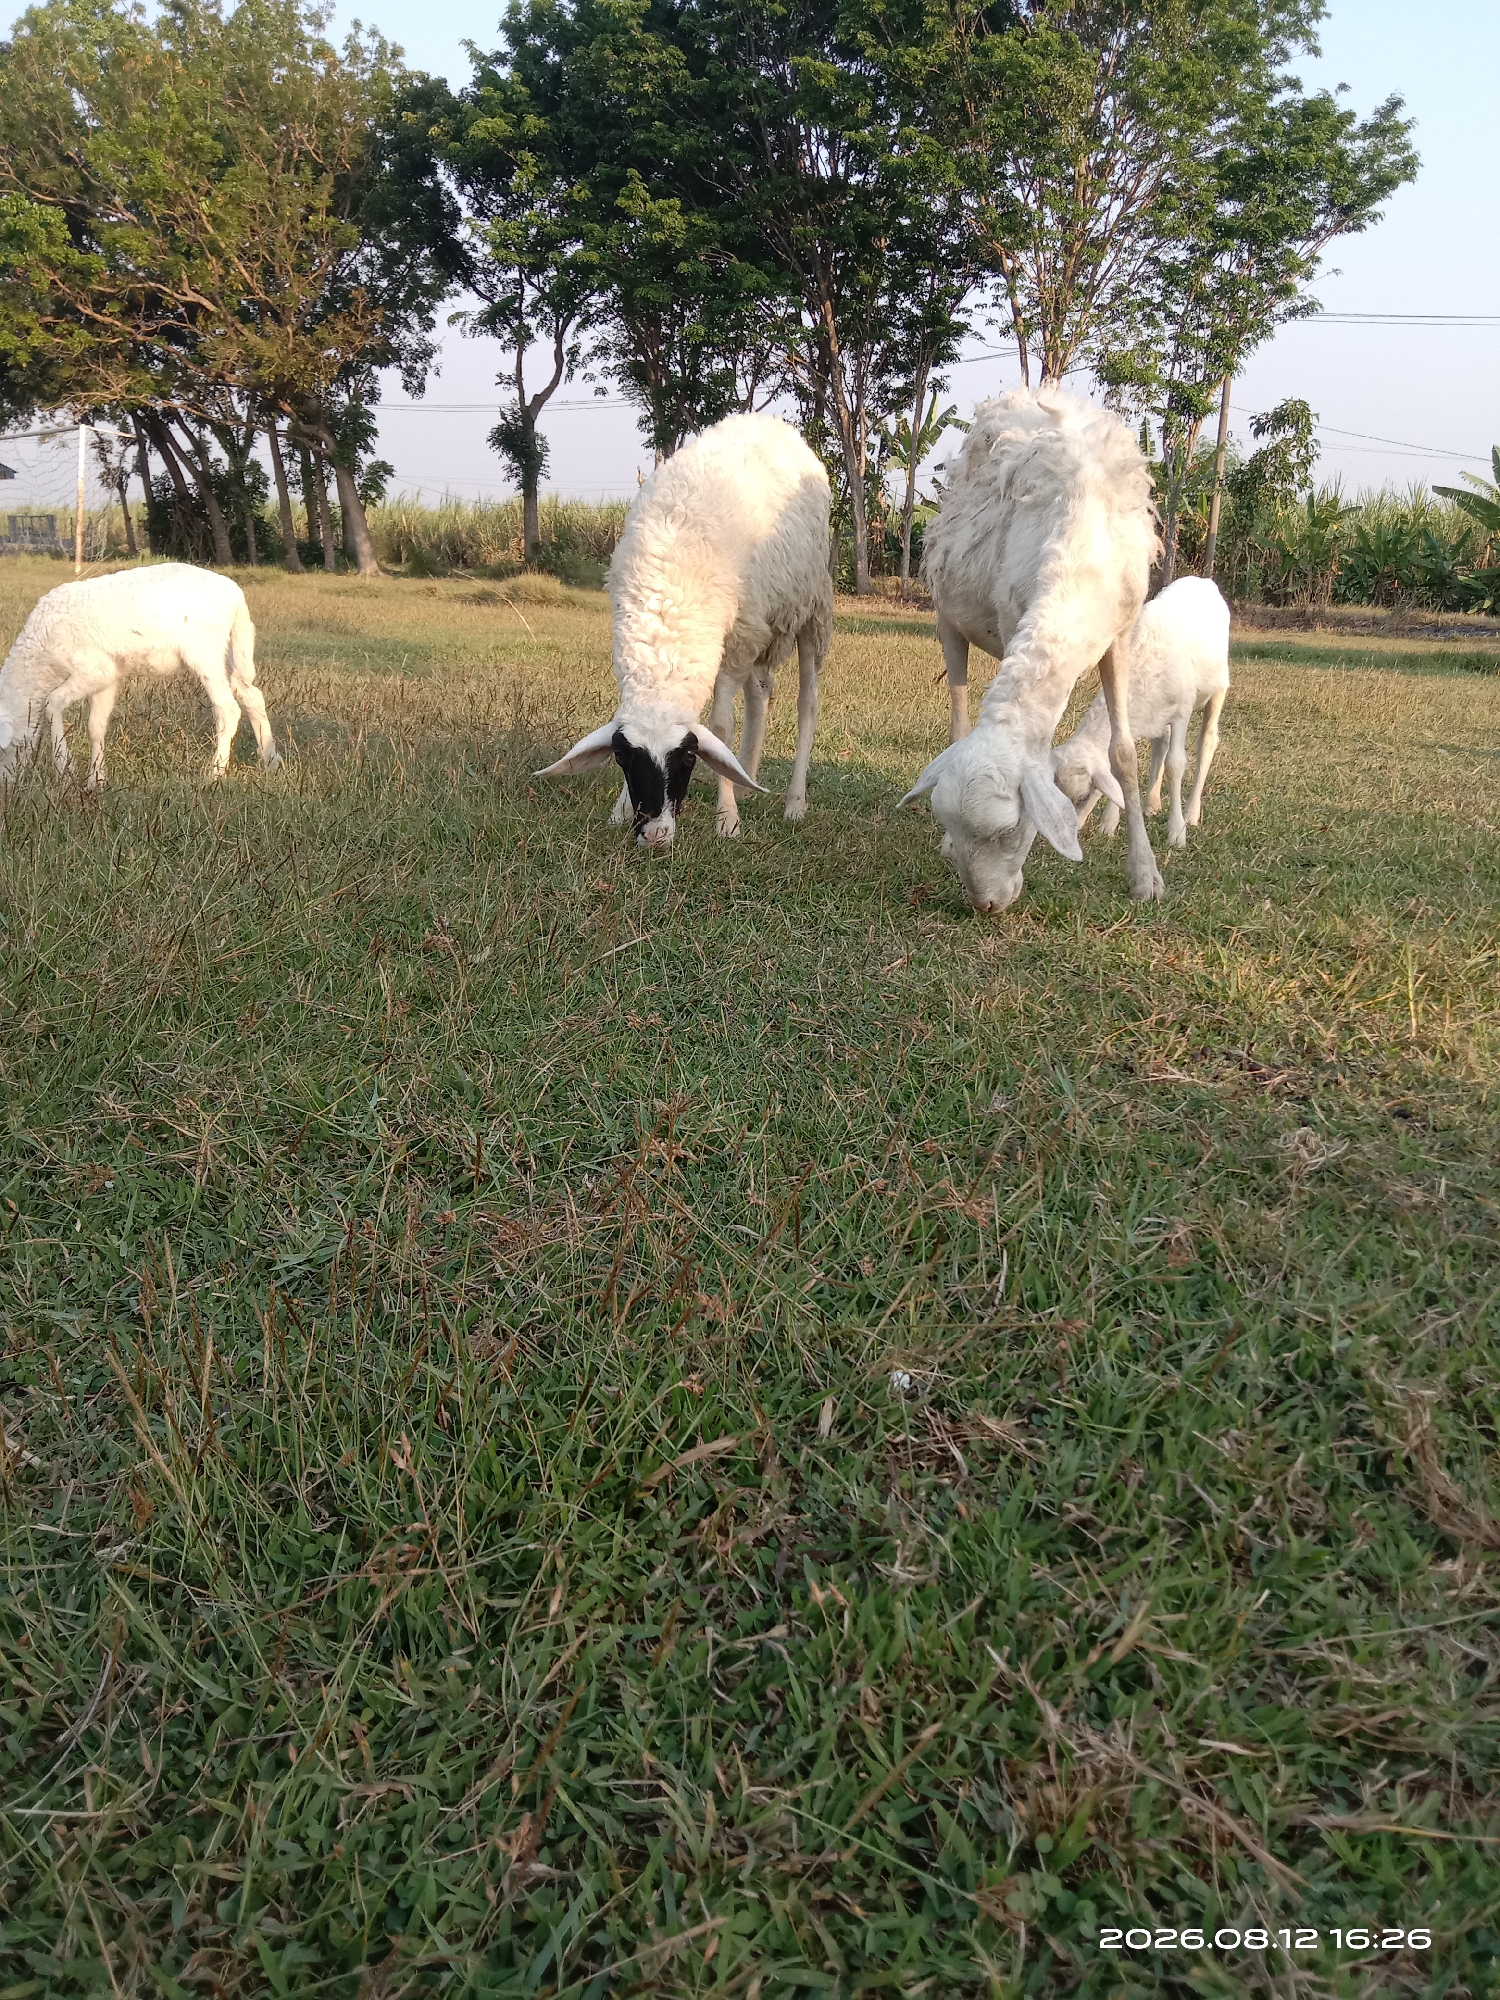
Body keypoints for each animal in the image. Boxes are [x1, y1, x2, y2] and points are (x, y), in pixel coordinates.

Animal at [0, 563, 280, 787]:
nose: (6, 788)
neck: (38, 660)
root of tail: (236, 597)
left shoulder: (94, 668)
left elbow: (53, 703)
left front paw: (64, 768)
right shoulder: (108, 677)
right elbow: (96, 727)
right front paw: (96, 781)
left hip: (205, 652)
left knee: (228, 708)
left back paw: (215, 773)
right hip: (229, 653)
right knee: (253, 696)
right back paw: (271, 759)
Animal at [537, 412, 834, 845]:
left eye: (689, 756)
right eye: (622, 756)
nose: (655, 834)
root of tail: (767, 419)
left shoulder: (737, 639)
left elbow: (722, 727)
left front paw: (727, 820)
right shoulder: (738, 638)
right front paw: (620, 810)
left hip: (811, 609)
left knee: (806, 703)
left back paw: (794, 803)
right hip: (761, 625)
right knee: (762, 693)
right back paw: (746, 780)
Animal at [900, 387, 1161, 912]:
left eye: (1010, 829)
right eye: (949, 822)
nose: (984, 906)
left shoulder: (1120, 636)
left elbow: (1123, 754)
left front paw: (1145, 875)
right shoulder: (1009, 622)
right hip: (947, 621)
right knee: (959, 720)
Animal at [1053, 577, 1230, 849]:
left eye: (1083, 797)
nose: (1068, 837)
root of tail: (1203, 579)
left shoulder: (1182, 710)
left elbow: (1176, 764)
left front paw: (1176, 833)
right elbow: (1122, 764)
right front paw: (1109, 824)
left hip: (1219, 686)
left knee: (1207, 742)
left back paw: (1191, 813)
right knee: (1161, 743)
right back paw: (1151, 803)